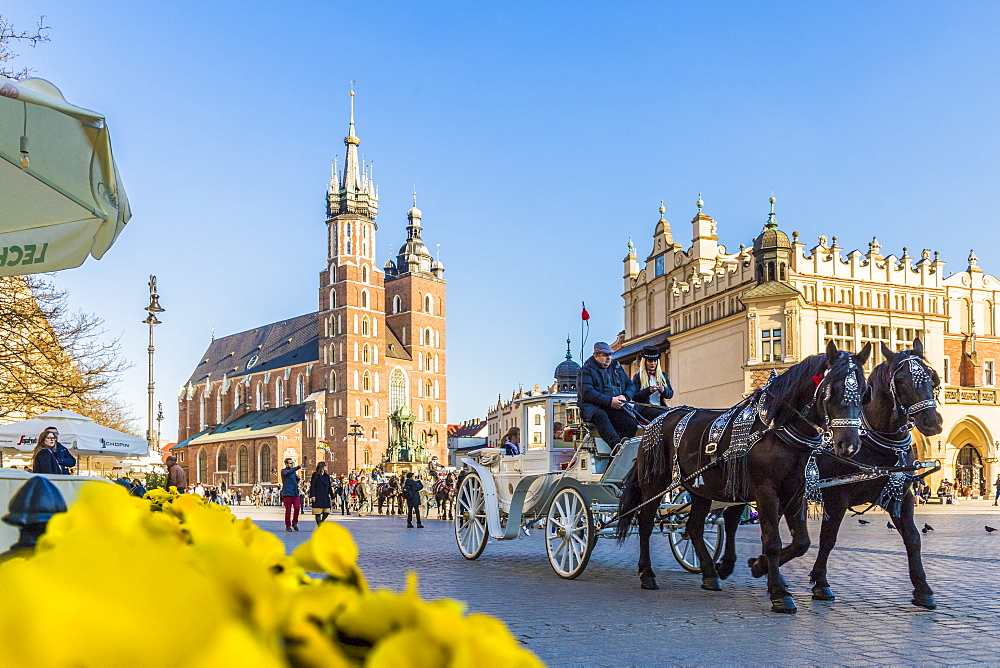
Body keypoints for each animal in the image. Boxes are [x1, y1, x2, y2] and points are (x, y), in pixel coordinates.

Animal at [616, 342, 868, 612]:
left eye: (865, 392)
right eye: (832, 390)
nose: (849, 445)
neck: (777, 430)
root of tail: (656, 422)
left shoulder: (795, 490)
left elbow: (801, 542)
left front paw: (759, 567)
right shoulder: (766, 491)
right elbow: (772, 541)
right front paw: (779, 593)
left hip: (699, 488)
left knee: (694, 527)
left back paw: (710, 574)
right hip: (654, 485)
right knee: (645, 524)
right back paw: (647, 574)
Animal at [748, 342, 940, 608]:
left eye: (932, 378)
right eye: (900, 380)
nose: (932, 422)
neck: (878, 444)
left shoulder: (902, 495)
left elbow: (913, 539)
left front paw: (923, 589)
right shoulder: (837, 497)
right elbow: (828, 539)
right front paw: (820, 583)